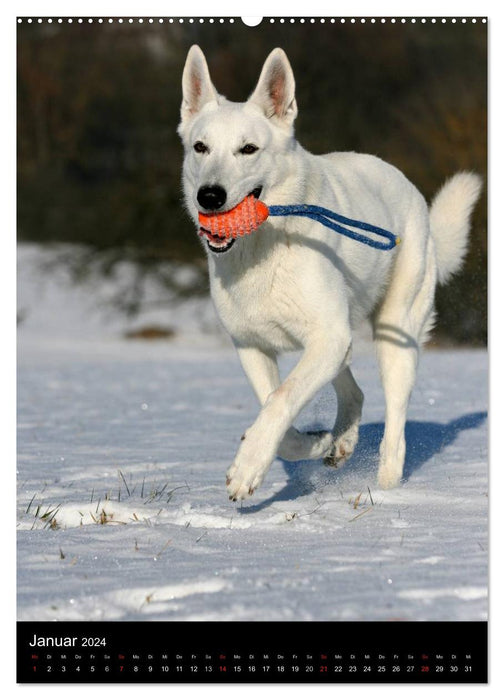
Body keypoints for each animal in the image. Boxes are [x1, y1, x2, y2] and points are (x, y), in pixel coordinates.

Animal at [177, 45, 480, 504]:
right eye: (200, 147)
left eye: (248, 149)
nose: (209, 196)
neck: (263, 247)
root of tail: (412, 192)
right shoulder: (253, 345)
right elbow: (277, 410)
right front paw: (314, 443)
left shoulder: (328, 338)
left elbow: (281, 400)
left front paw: (247, 468)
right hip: (341, 344)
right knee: (354, 393)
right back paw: (340, 441)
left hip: (393, 335)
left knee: (394, 431)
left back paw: (387, 491)